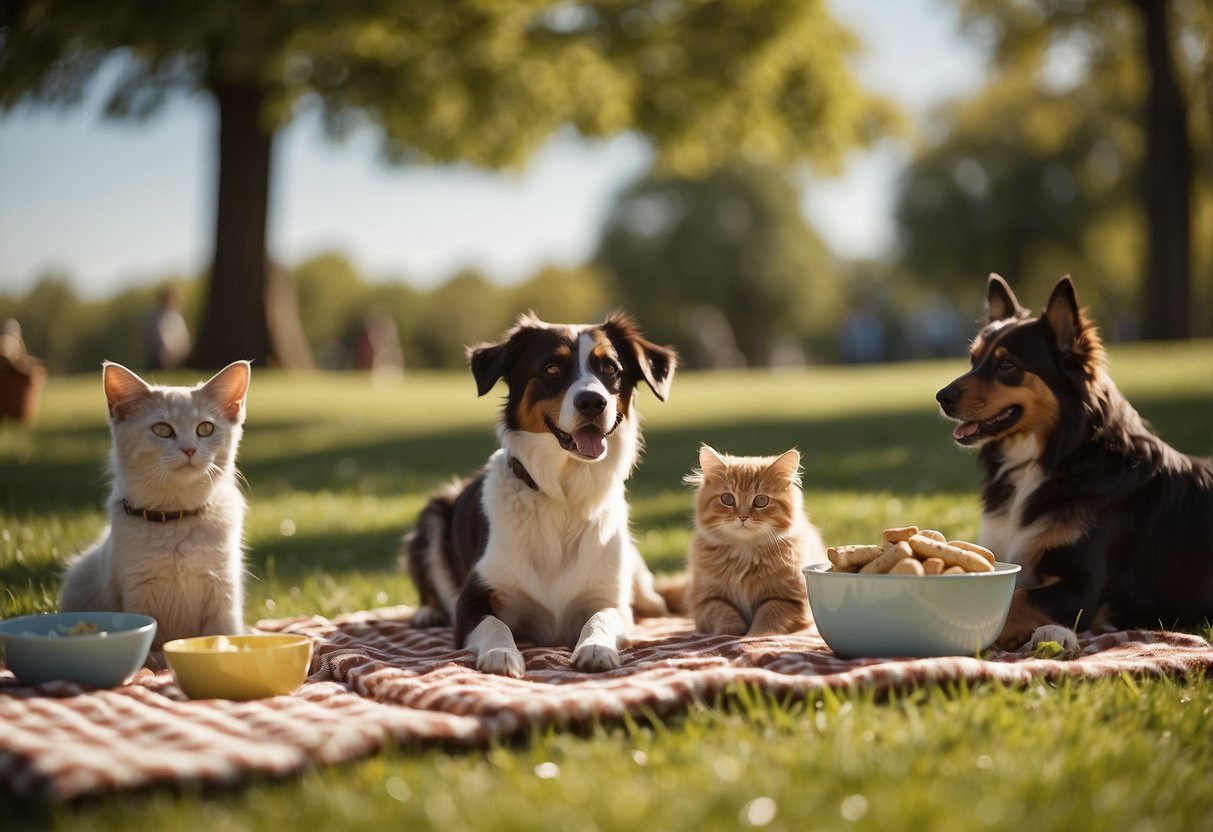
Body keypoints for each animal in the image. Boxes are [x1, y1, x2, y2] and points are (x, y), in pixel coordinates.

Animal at [61, 361, 253, 650]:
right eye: (162, 429)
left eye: (205, 429)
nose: (189, 449)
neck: (176, 517)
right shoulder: (137, 593)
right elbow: (152, 650)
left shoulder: (223, 592)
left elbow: (224, 634)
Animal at [405, 310, 674, 679]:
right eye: (551, 369)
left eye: (610, 369)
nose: (593, 401)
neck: (562, 497)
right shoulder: (473, 600)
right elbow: (496, 625)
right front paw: (502, 654)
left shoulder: (611, 599)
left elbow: (601, 616)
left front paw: (595, 647)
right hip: (433, 514)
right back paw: (427, 613)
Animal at [684, 446, 824, 635]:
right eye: (727, 499)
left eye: (761, 500)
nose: (743, 516)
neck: (745, 553)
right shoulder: (705, 600)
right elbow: (723, 613)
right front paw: (729, 632)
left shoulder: (790, 600)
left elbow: (767, 616)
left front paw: (755, 635)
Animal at [936, 274, 1213, 650]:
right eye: (973, 359)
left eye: (1008, 365)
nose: (942, 397)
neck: (1054, 459)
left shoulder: (1084, 587)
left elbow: (1016, 600)